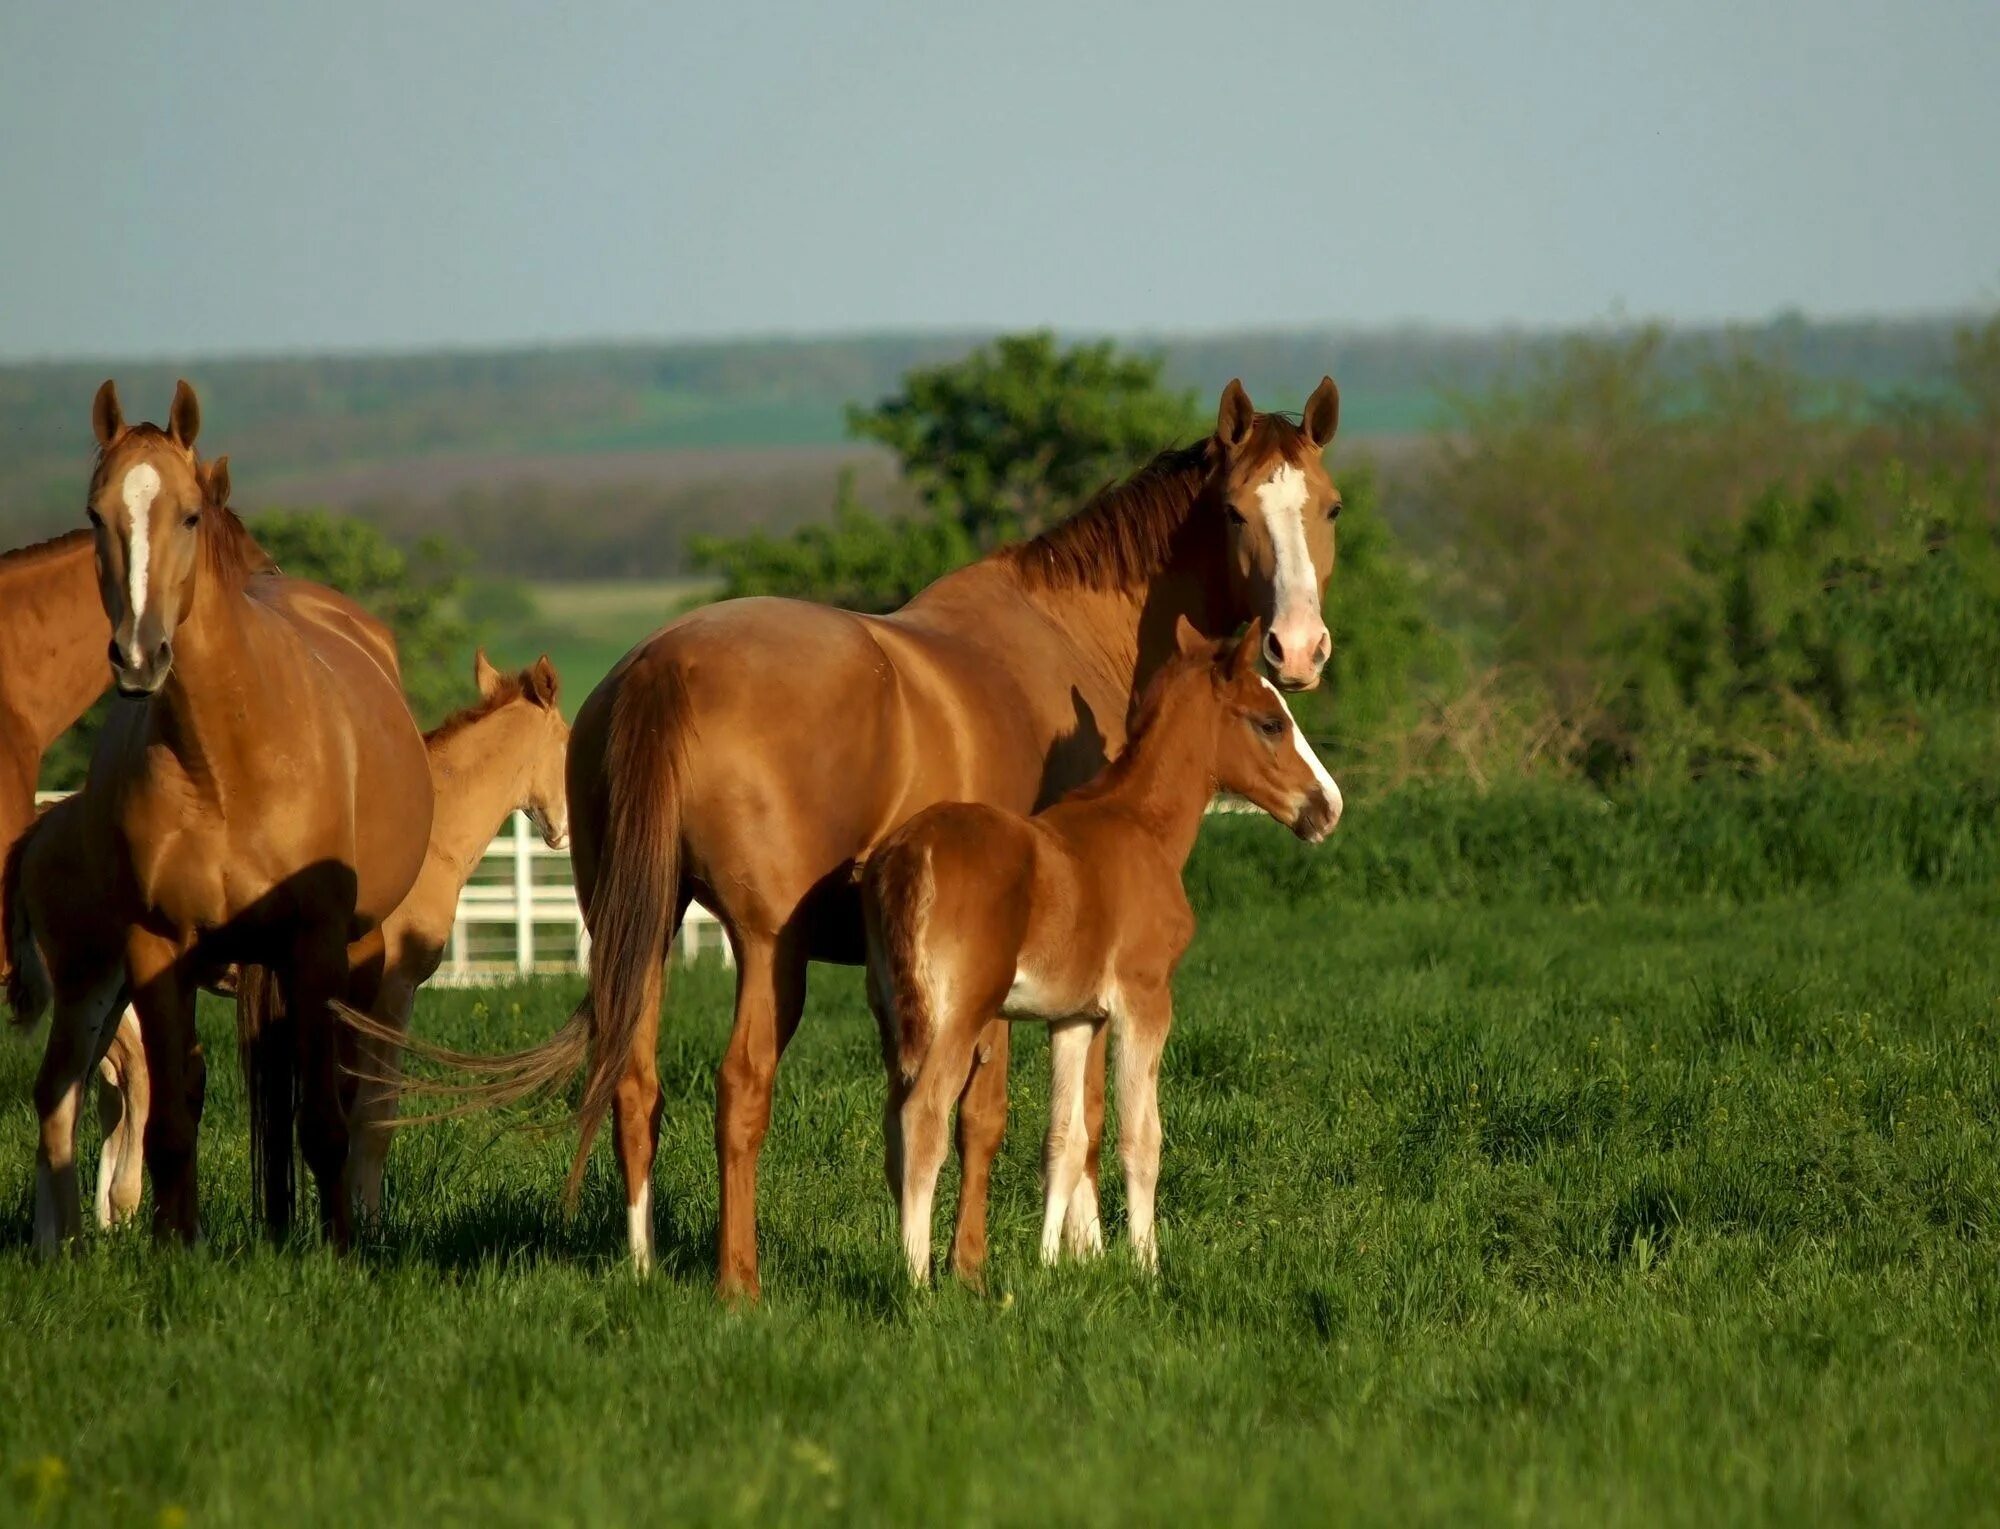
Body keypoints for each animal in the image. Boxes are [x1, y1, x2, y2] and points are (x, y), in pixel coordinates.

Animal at [7, 380, 432, 1240]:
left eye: (190, 515)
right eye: (96, 512)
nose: (140, 655)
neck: (227, 761)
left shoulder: (315, 942)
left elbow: (324, 1124)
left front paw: (341, 1250)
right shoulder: (156, 948)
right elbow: (171, 1121)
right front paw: (179, 1245)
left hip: (354, 949)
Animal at [864, 616, 1344, 1280]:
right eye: (1271, 722)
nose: (1329, 807)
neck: (1140, 826)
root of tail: (913, 853)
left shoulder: (1074, 1017)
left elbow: (1065, 1140)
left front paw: (1050, 1266)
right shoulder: (1146, 1002)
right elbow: (1141, 1138)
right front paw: (1147, 1267)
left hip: (892, 1016)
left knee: (894, 1122)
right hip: (957, 1019)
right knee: (923, 1117)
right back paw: (915, 1277)